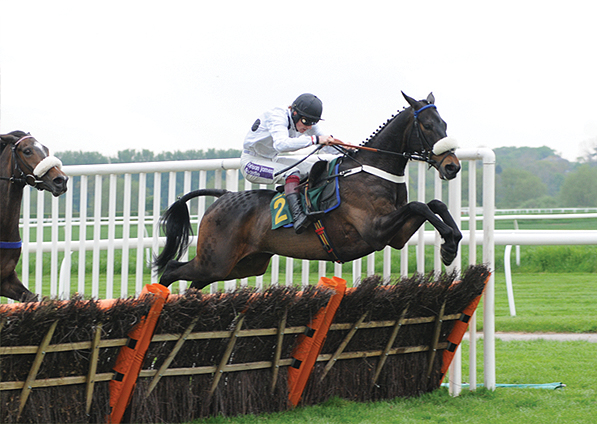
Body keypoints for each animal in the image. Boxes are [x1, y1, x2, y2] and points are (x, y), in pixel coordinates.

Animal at [152, 93, 460, 290]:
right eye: (428, 125)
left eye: (445, 124)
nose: (452, 166)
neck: (372, 169)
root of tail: (224, 196)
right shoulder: (374, 230)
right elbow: (420, 205)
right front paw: (447, 244)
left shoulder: (395, 236)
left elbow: (434, 204)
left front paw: (451, 243)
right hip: (215, 259)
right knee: (171, 270)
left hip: (240, 264)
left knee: (193, 280)